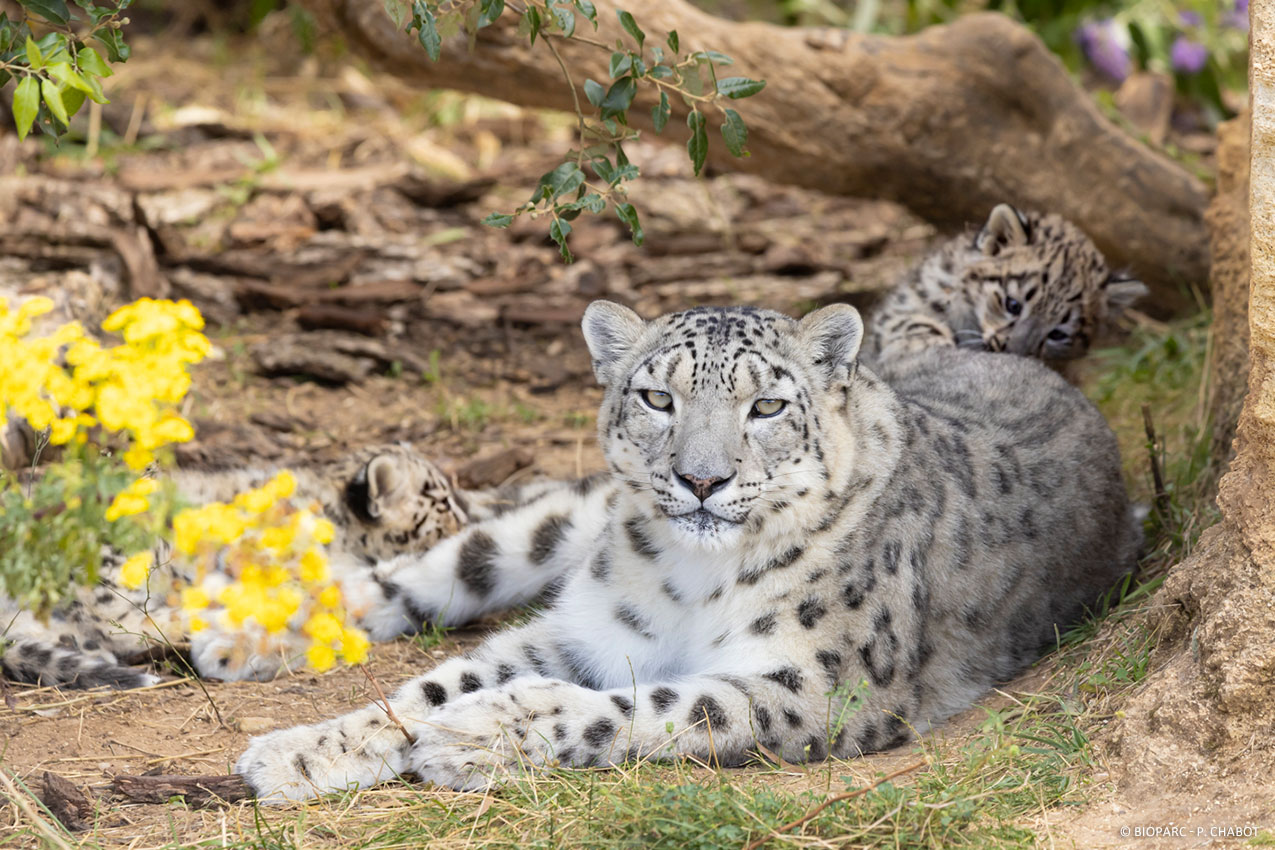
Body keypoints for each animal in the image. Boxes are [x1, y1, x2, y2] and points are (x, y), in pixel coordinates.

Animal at [234, 302, 1142, 800]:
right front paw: (297, 752)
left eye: (768, 405)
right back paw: (241, 634)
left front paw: (478, 731)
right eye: (656, 397)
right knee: (447, 563)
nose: (701, 479)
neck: (696, 579)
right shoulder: (586, 631)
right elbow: (426, 686)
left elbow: (655, 705)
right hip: (566, 524)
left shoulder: (819, 685)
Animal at [867, 203, 1147, 367]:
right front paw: (927, 345)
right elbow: (911, 321)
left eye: (1058, 333)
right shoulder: (909, 302)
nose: (1013, 352)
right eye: (1013, 304)